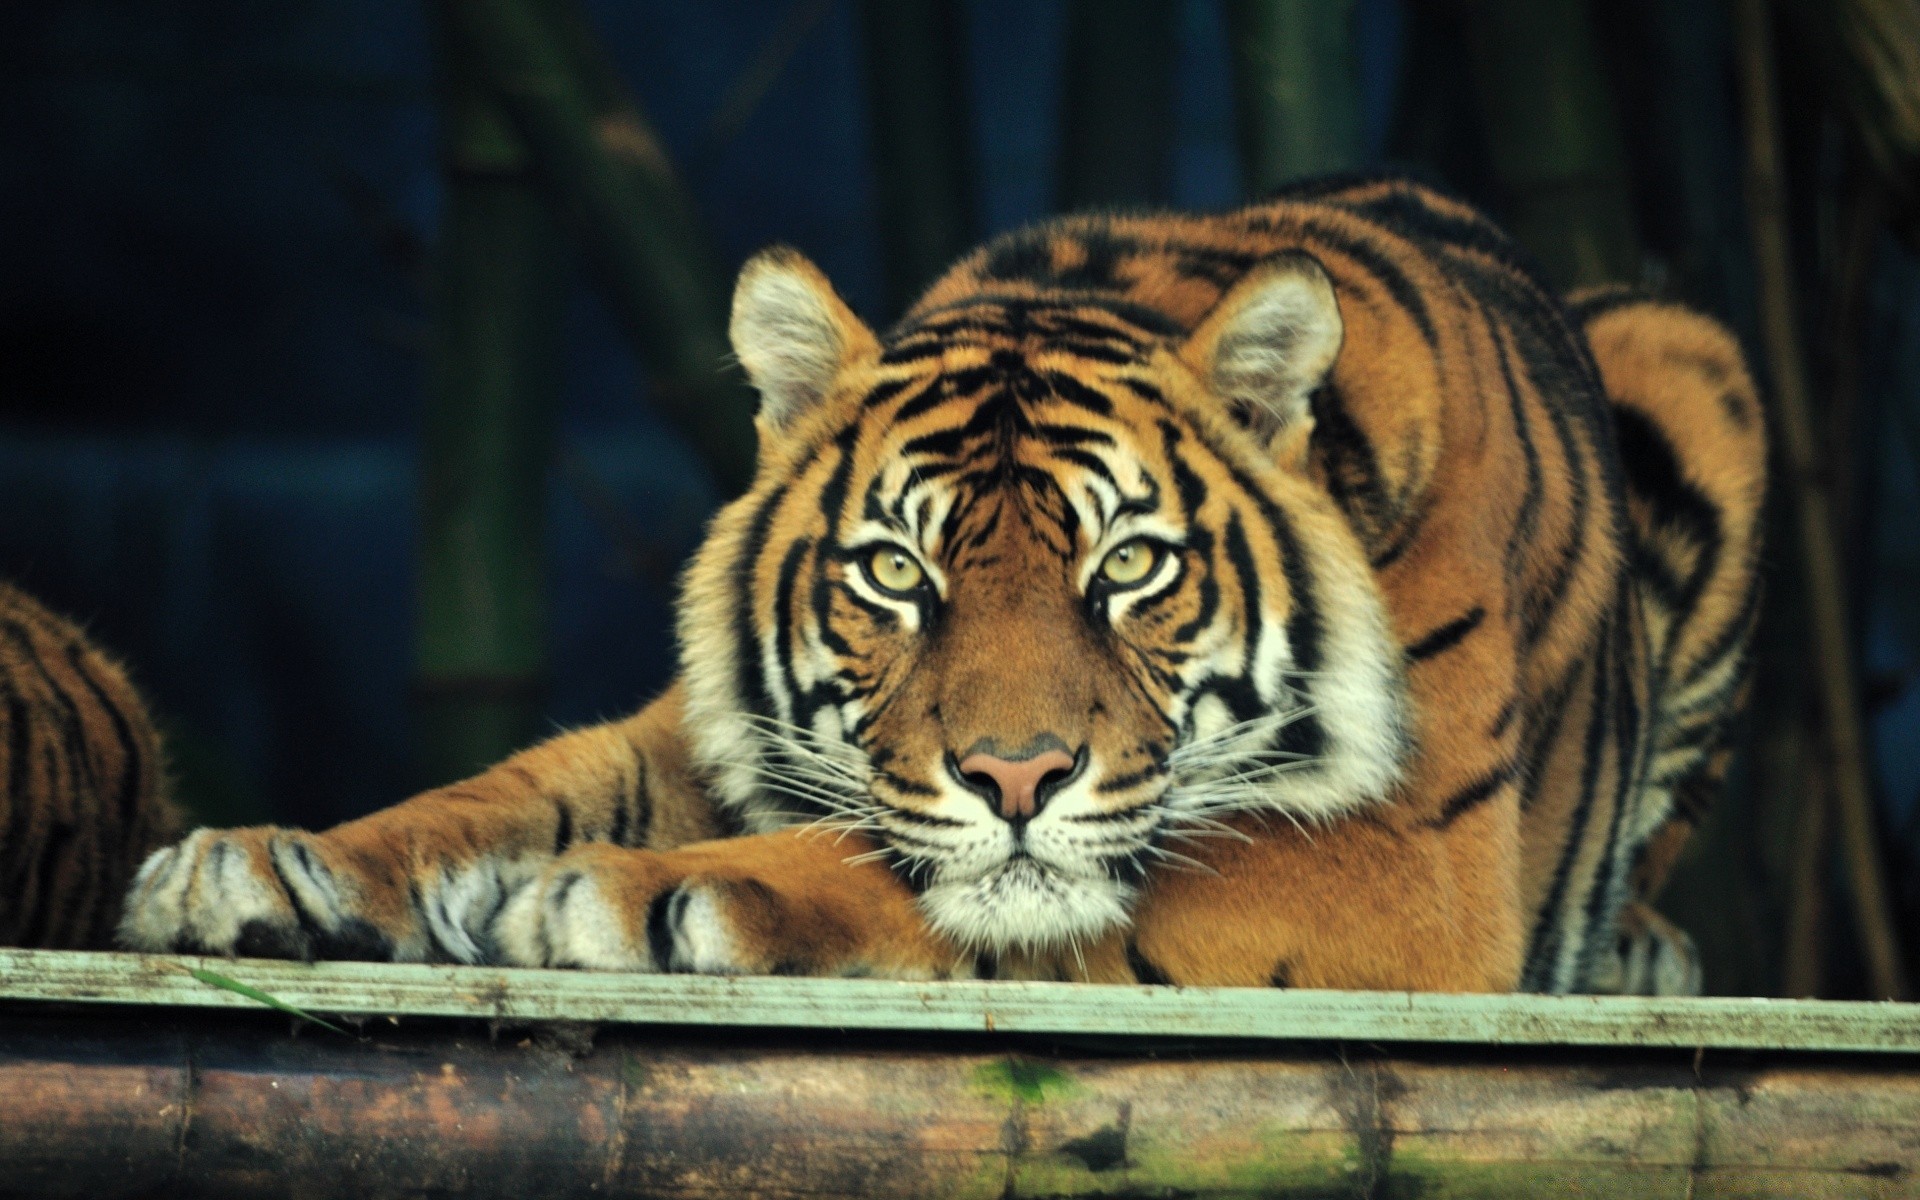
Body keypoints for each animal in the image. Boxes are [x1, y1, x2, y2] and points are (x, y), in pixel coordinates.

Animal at [116, 175, 1766, 990]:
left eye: (1132, 565)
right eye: (895, 572)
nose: (1017, 775)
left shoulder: (1404, 867)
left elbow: (927, 872)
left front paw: (639, 894)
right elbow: (513, 788)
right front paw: (262, 867)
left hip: (1700, 362)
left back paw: (1647, 951)